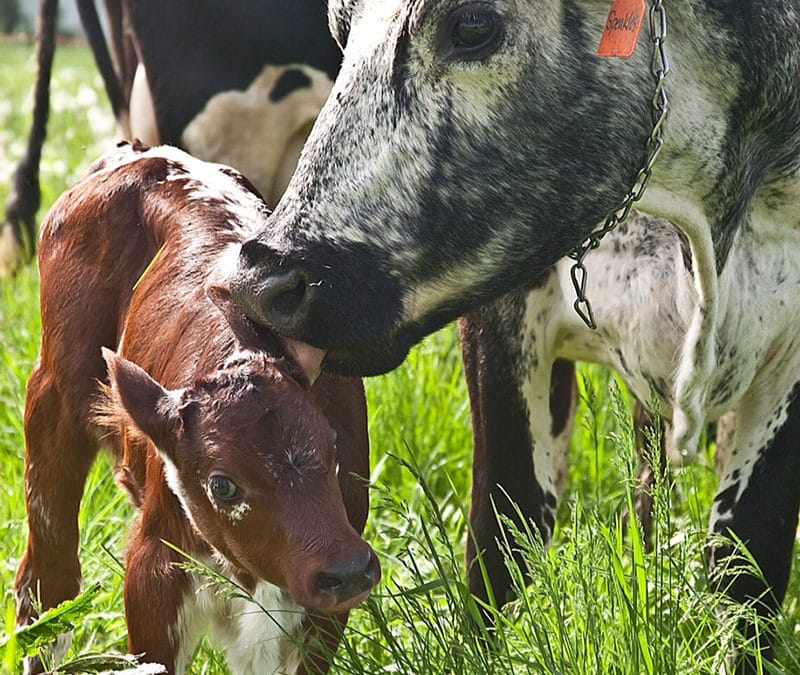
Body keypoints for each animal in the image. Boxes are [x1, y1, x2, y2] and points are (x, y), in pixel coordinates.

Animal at [16, 144, 382, 675]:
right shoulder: (153, 571)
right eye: (222, 485)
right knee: (47, 581)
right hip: (51, 397)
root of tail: (143, 154)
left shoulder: (325, 603)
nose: (347, 571)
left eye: (334, 449)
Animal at [225, 2, 800, 672]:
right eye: (340, 25)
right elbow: (505, 531)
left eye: (474, 25)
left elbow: (747, 563)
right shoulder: (503, 327)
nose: (262, 281)